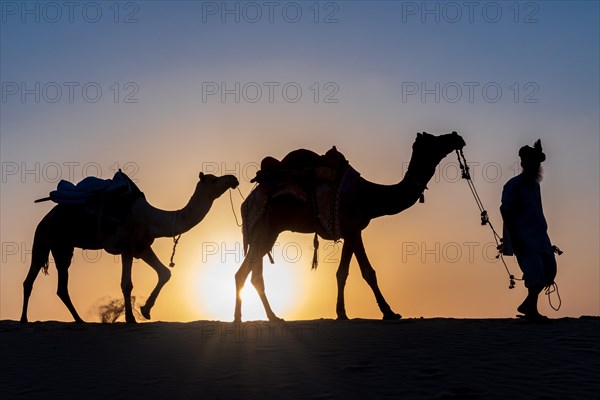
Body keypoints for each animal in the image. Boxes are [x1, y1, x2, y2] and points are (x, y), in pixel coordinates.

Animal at [21, 171, 238, 322]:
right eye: (213, 179)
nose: (232, 178)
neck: (150, 218)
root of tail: (46, 217)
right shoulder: (126, 247)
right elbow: (127, 284)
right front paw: (131, 318)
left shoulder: (141, 248)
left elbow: (165, 273)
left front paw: (146, 310)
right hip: (44, 238)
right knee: (29, 279)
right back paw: (24, 319)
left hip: (63, 247)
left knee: (61, 287)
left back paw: (79, 320)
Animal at [234, 131, 464, 322]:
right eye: (434, 140)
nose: (456, 137)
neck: (369, 196)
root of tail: (248, 200)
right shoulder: (353, 228)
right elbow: (368, 272)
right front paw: (389, 312)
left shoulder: (349, 231)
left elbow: (342, 272)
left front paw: (342, 313)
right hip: (264, 229)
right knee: (246, 273)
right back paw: (245, 318)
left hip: (266, 233)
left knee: (251, 274)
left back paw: (268, 317)